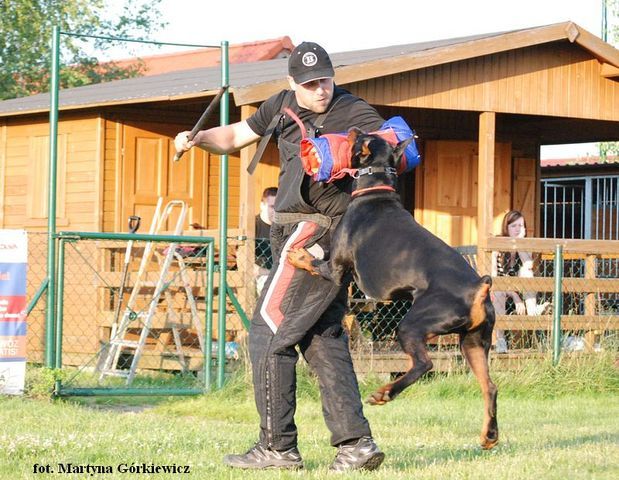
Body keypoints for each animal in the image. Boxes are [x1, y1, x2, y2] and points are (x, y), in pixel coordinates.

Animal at [288, 128, 499, 450]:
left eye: (362, 139)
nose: (352, 130)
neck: (375, 191)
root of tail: (478, 287)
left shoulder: (336, 269)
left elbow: (314, 263)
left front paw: (297, 256)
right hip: (473, 342)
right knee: (490, 387)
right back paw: (489, 435)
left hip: (413, 325)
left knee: (424, 364)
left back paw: (384, 393)